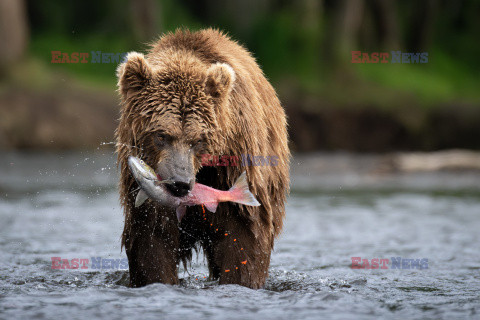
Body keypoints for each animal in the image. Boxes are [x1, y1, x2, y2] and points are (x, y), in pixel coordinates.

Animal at [115, 28, 288, 290]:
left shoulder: (235, 157)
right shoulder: (144, 189)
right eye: (161, 135)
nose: (179, 183)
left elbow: (244, 234)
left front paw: (239, 280)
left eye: (197, 140)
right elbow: (153, 237)